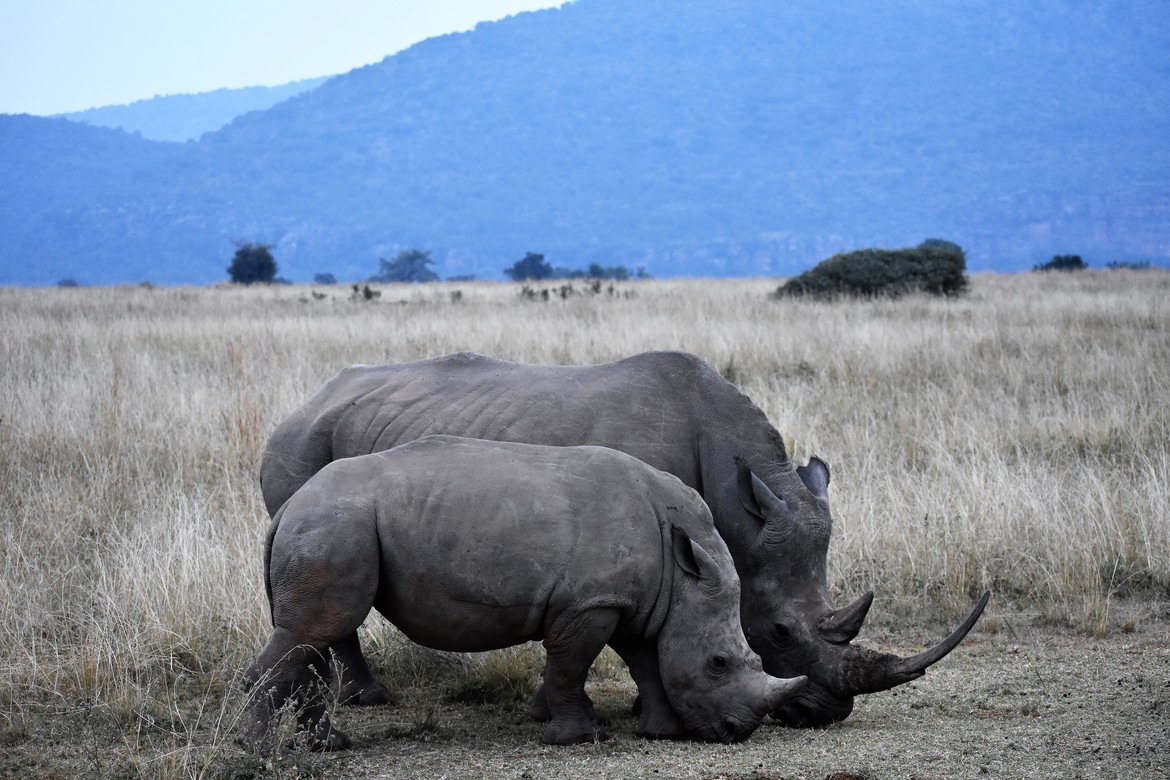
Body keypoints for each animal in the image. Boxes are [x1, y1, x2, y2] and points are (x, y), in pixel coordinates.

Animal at [245, 435, 806, 748]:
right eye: (719, 663)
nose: (736, 732)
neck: (685, 567)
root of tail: (287, 508)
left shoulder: (634, 600)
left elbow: (646, 660)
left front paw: (659, 732)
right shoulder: (590, 602)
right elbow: (571, 665)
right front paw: (579, 738)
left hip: (329, 527)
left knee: (314, 636)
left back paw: (328, 746)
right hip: (333, 527)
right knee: (317, 630)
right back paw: (262, 749)